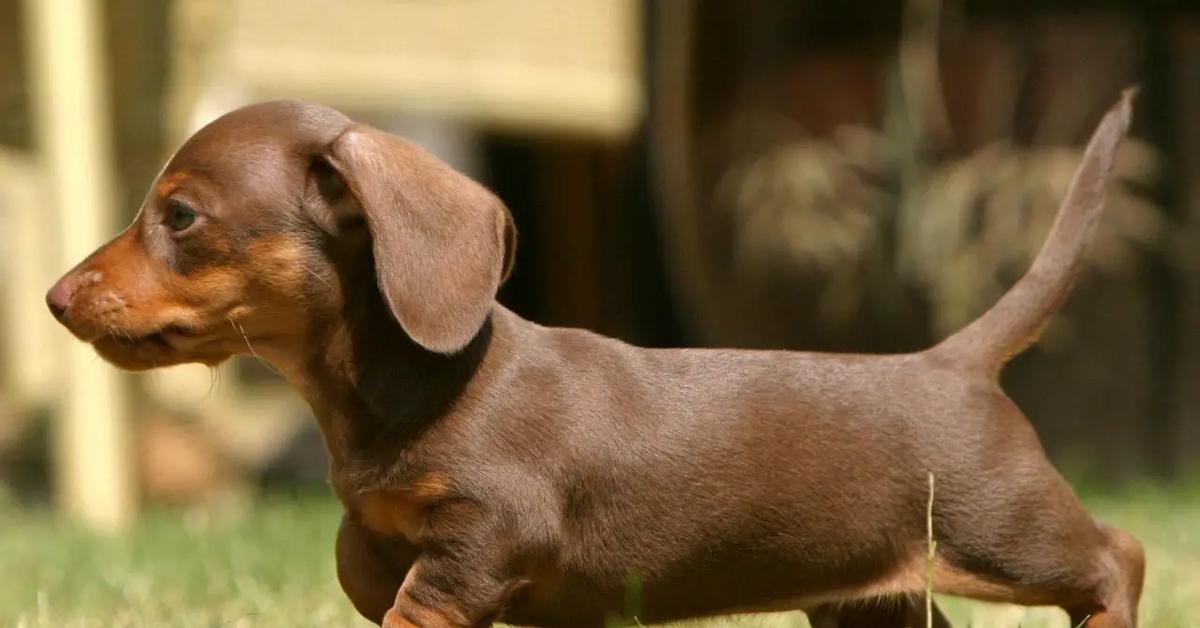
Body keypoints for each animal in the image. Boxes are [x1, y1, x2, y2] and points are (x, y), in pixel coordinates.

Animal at [49, 89, 1142, 628]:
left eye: (180, 217)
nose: (55, 297)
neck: (399, 388)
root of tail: (953, 361)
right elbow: (358, 556)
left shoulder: (485, 535)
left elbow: (418, 599)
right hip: (867, 602)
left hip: (1003, 532)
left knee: (1114, 558)